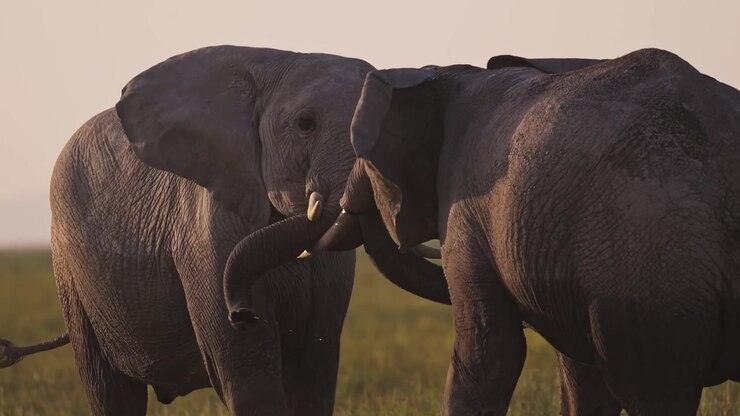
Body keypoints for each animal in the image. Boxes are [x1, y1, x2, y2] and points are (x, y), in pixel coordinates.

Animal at [0, 45, 379, 416]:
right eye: (305, 125)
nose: (241, 312)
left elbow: (314, 371)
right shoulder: (208, 235)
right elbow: (250, 376)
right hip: (71, 272)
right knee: (110, 391)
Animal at [312, 48, 740, 415]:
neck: (454, 73)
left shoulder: (465, 207)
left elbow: (490, 349)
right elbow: (580, 370)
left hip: (650, 272)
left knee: (655, 393)